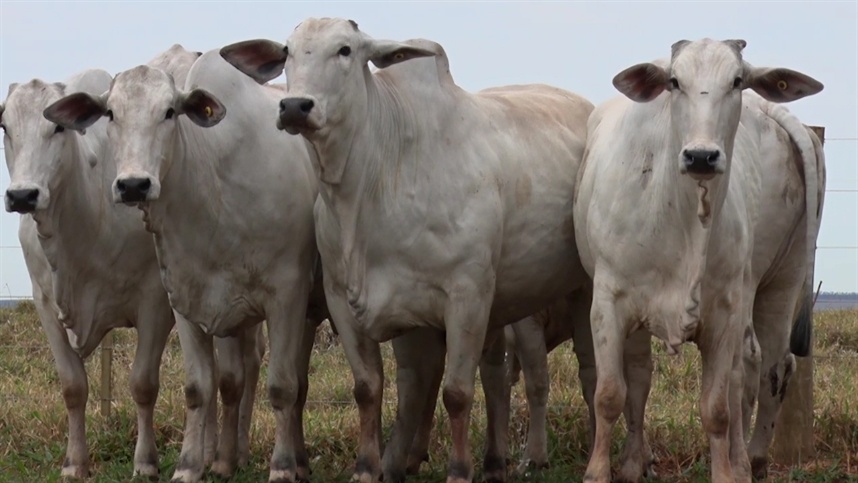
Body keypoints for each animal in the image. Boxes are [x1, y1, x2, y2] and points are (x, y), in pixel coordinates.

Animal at [0, 69, 175, 480]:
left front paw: (145, 462)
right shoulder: (46, 305)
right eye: (4, 126)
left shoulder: (156, 302)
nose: (22, 195)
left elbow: (143, 384)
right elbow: (73, 387)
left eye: (57, 127)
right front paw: (74, 462)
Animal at [46, 49, 328, 483]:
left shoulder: (287, 296)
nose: (133, 185)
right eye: (111, 113)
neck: (215, 188)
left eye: (169, 112)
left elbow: (282, 386)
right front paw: (189, 465)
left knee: (295, 383)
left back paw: (292, 461)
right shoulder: (185, 301)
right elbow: (199, 389)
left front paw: (280, 467)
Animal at [221, 17, 596, 482]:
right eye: (287, 52)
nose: (294, 106)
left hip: (585, 291)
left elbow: (456, 393)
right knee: (495, 376)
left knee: (591, 374)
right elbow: (368, 389)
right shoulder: (343, 303)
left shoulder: (466, 297)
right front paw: (367, 467)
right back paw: (494, 463)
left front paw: (458, 470)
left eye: (345, 49)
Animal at [572, 38, 820, 483]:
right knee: (763, 368)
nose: (701, 156)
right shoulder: (608, 303)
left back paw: (746, 461)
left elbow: (717, 408)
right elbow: (610, 394)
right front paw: (600, 471)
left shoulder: (724, 313)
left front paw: (724, 472)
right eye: (674, 82)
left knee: (758, 369)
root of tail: (772, 109)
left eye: (737, 80)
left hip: (774, 281)